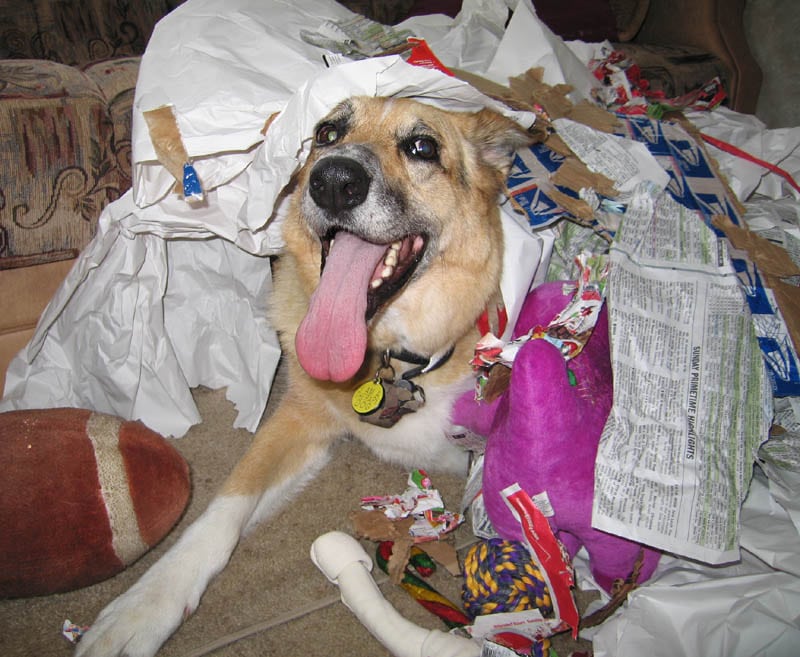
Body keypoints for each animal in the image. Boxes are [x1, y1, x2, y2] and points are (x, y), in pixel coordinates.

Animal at [76, 95, 536, 652]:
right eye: (327, 134)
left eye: (422, 147)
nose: (333, 180)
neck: (395, 357)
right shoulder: (298, 419)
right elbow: (223, 509)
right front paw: (145, 605)